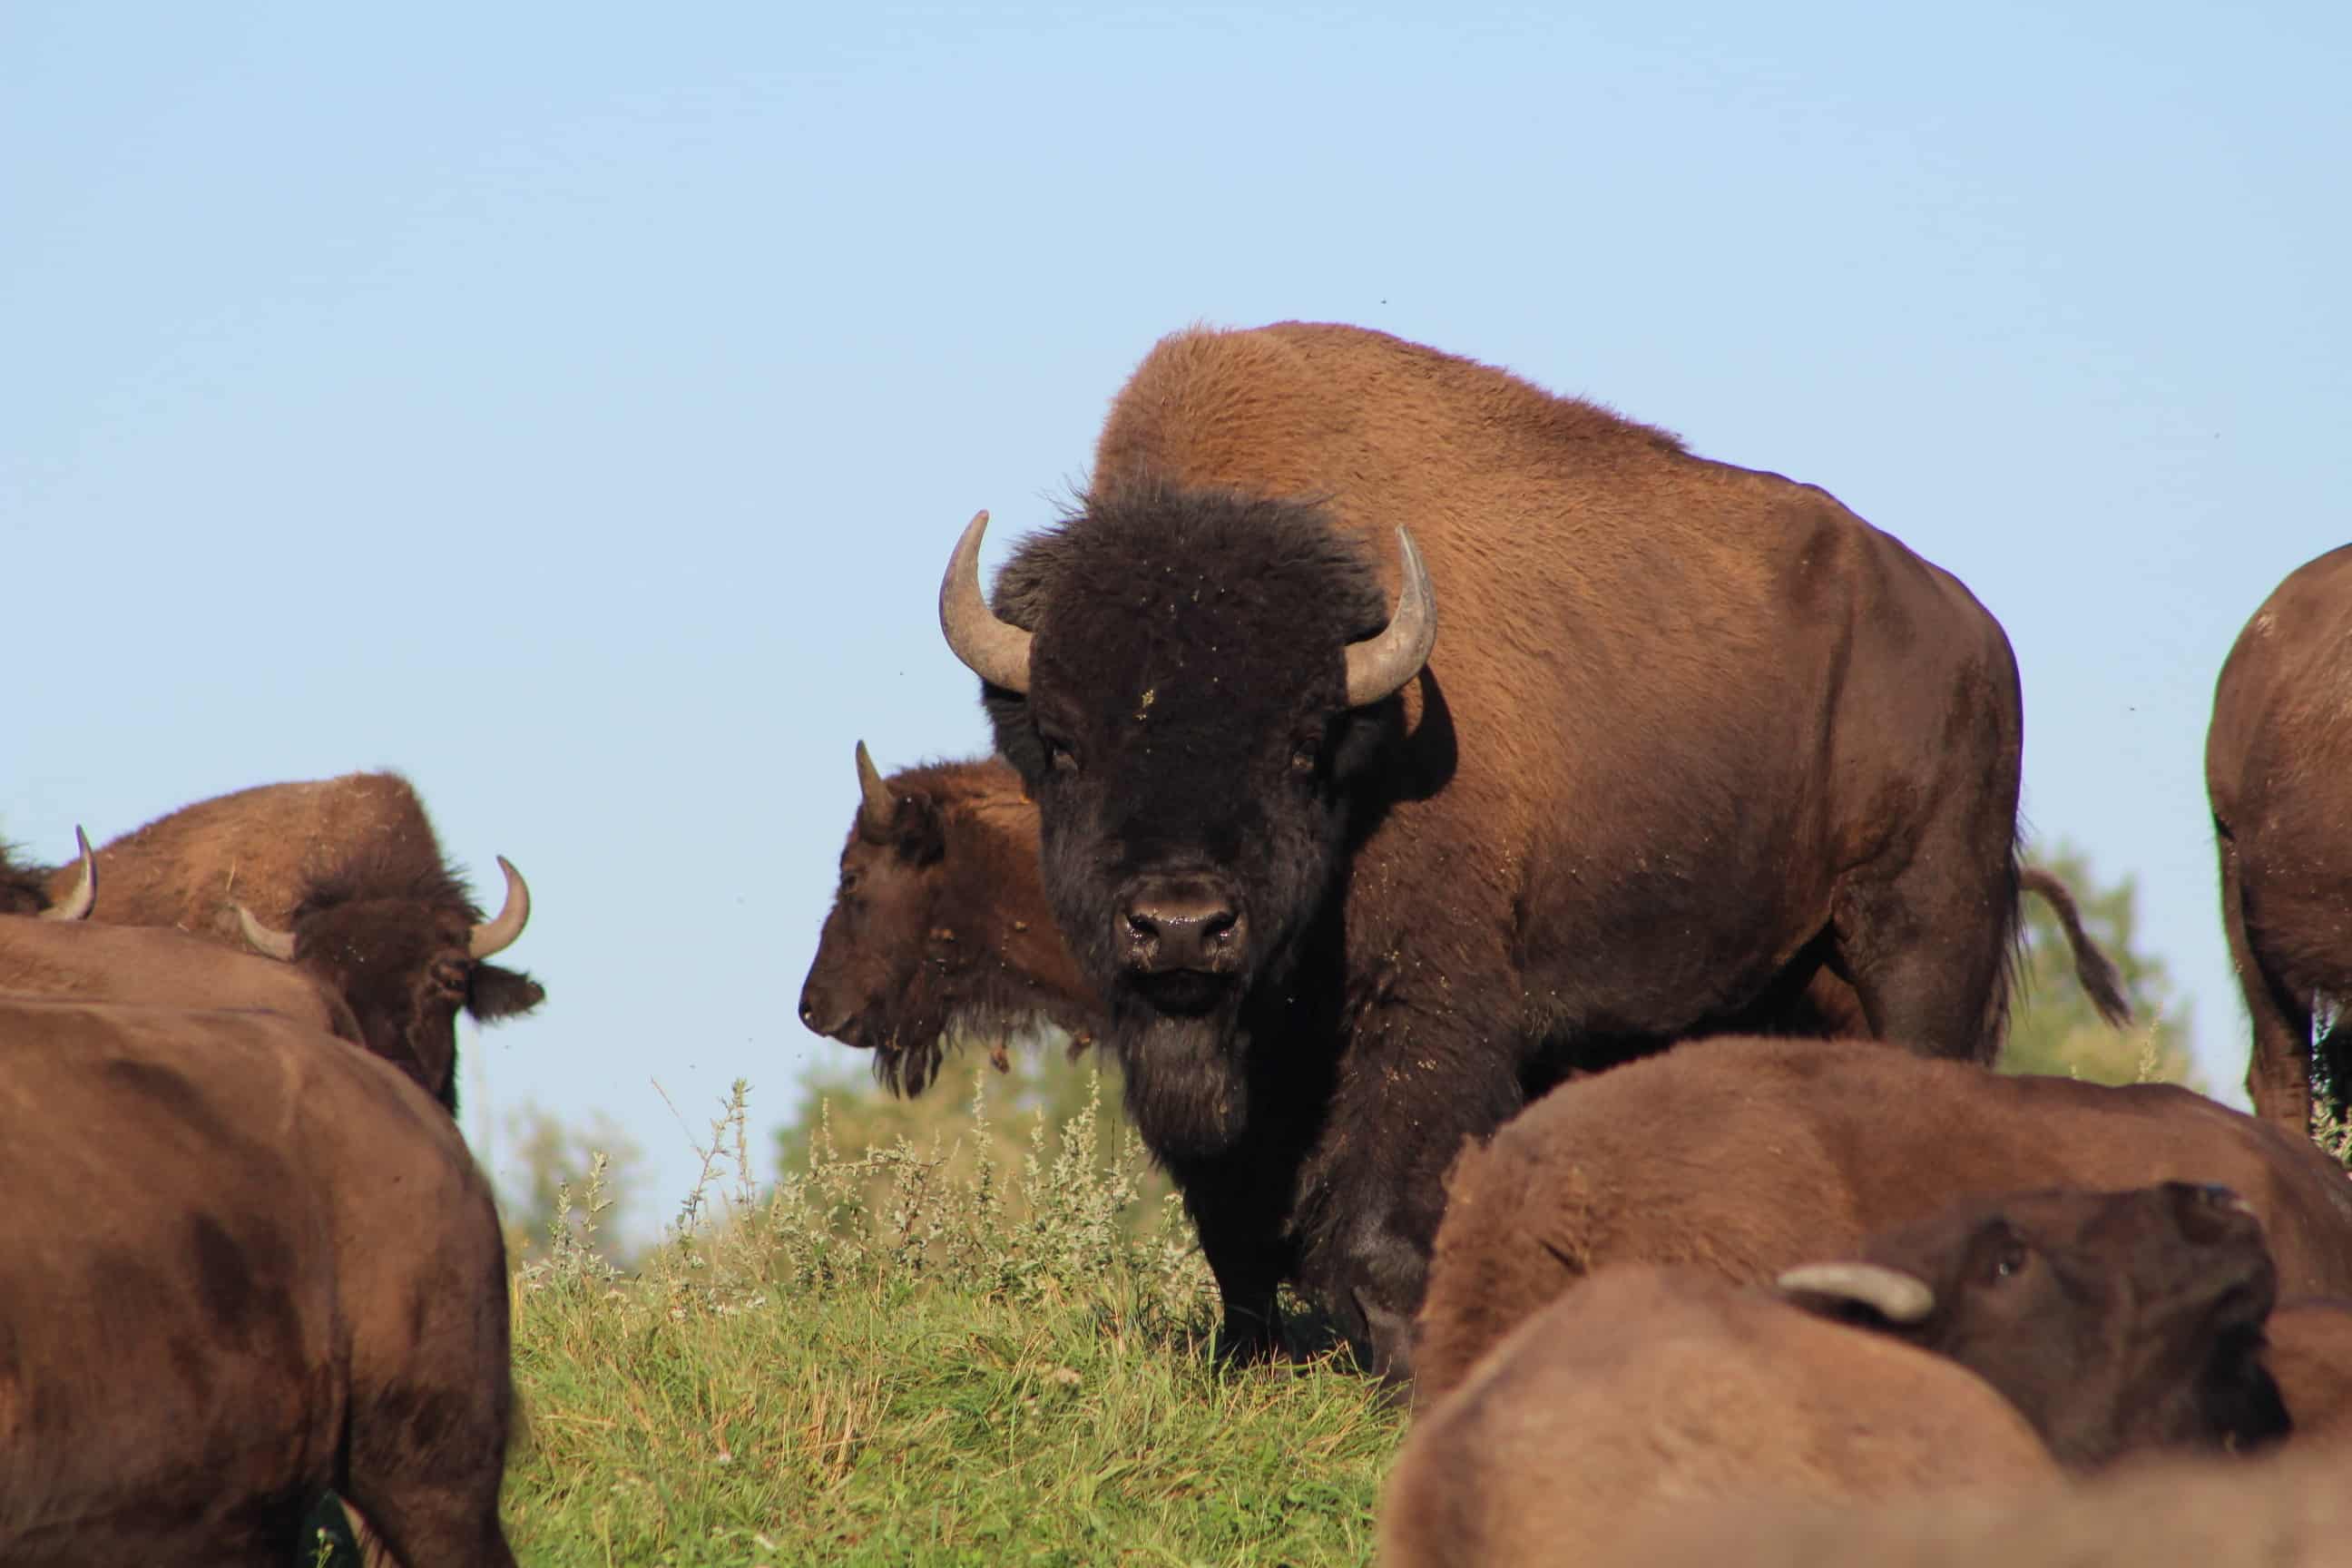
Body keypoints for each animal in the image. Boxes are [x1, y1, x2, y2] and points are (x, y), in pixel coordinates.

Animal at [945, 321, 2069, 1372]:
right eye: (1061, 742)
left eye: (1303, 746)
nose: (1182, 927)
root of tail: (1975, 632)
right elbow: (1239, 1228)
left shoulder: (1430, 1008)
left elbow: (1381, 1226)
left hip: (1922, 941)